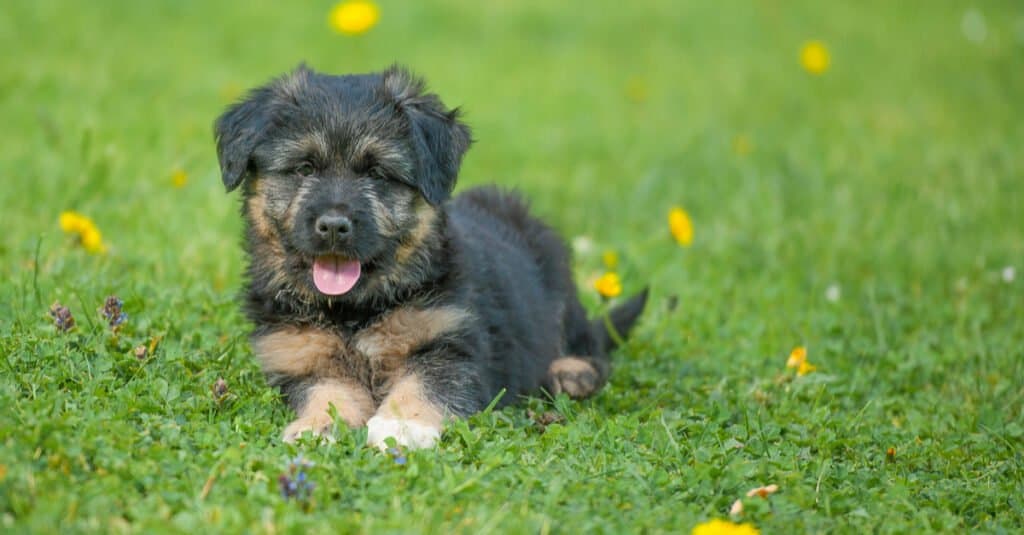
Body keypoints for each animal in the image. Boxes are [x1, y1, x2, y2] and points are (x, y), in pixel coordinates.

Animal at [214, 62, 647, 446]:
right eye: (304, 168)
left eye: (377, 173)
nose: (334, 226)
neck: (355, 310)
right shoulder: (299, 354)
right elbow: (329, 393)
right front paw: (317, 426)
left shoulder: (451, 341)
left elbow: (426, 381)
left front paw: (403, 425)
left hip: (556, 277)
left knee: (588, 342)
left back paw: (571, 373)